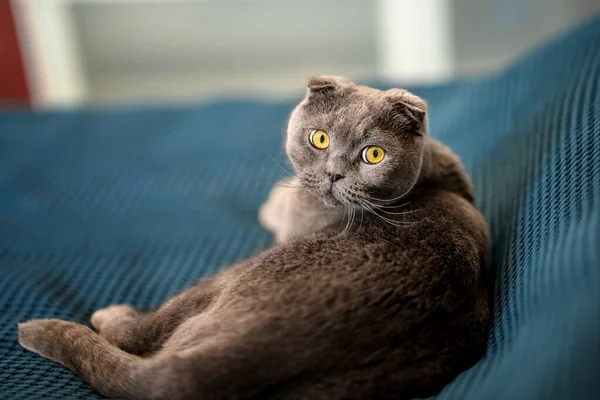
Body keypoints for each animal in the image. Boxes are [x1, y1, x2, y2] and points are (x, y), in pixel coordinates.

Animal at [17, 76, 492, 400]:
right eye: (319, 139)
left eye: (373, 154)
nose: (334, 173)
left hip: (228, 279)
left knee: (137, 334)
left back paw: (109, 316)